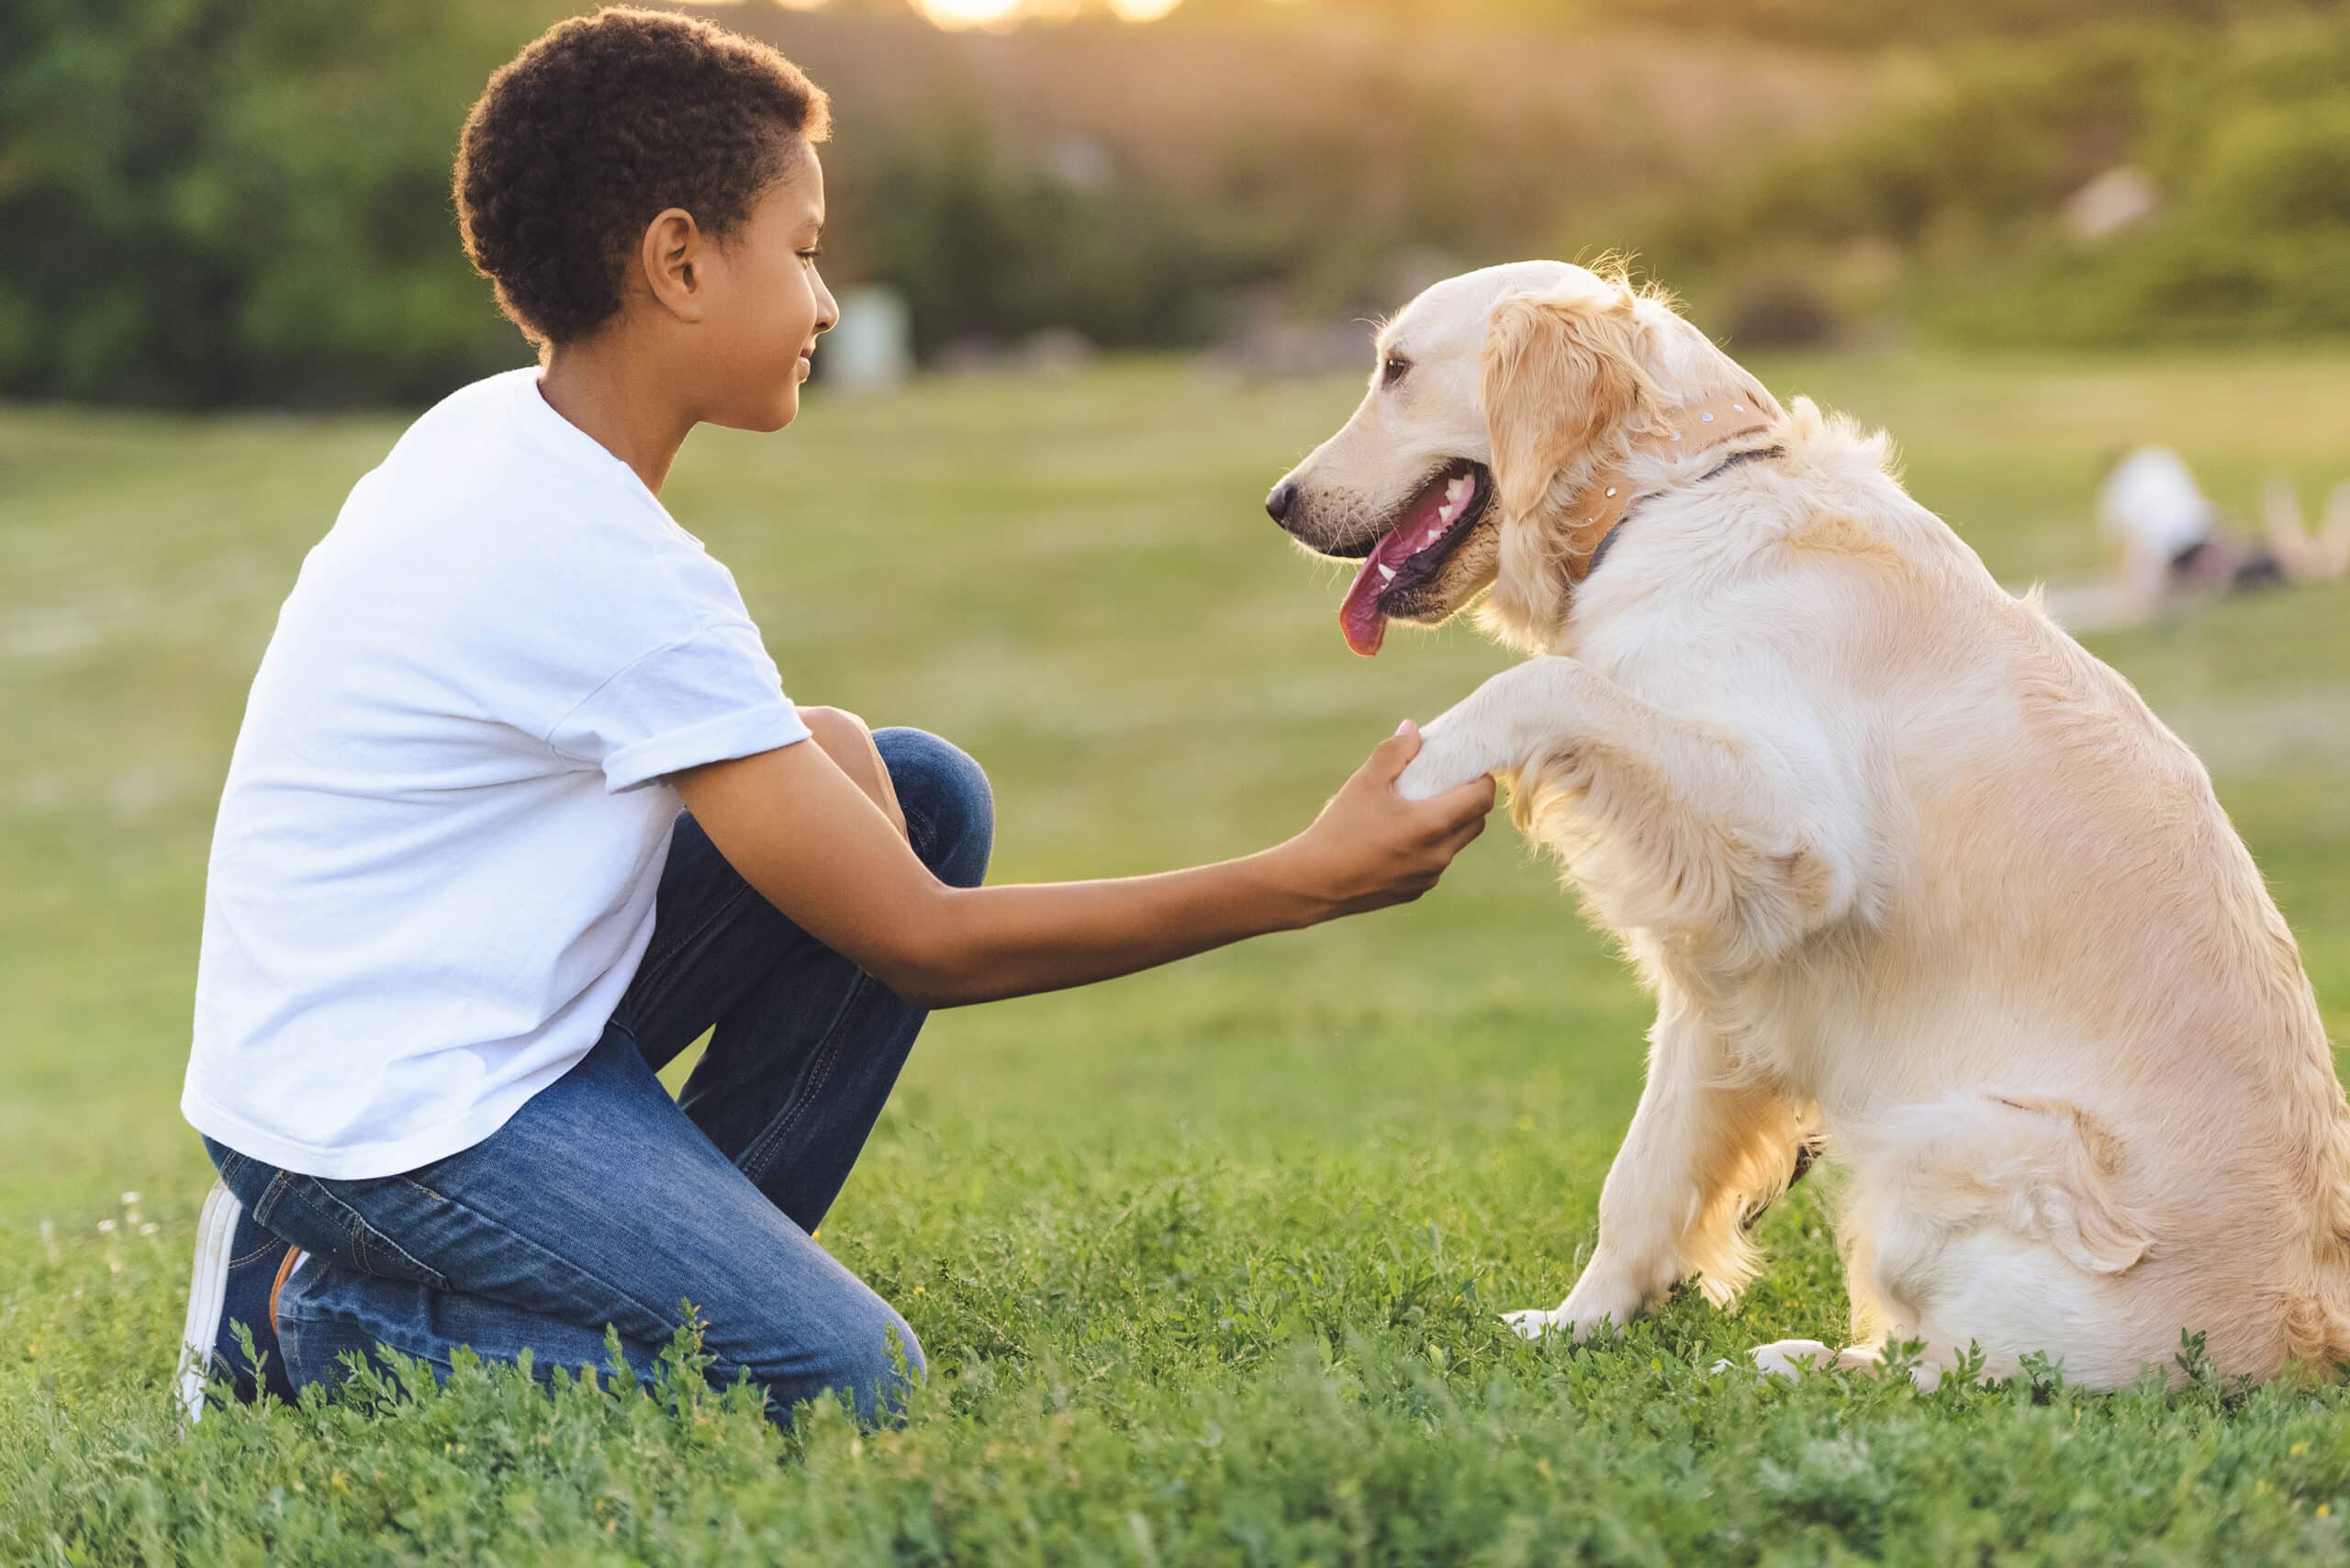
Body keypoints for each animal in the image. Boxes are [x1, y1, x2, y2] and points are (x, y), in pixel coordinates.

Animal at [1269, 263, 2350, 1391]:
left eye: (1395, 369)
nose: (1279, 503)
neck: (1665, 494)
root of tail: (2302, 1348)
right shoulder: (1719, 986)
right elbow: (1640, 1181)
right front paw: (1578, 1324)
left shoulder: (1796, 838)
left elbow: (1547, 682)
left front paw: (1416, 768)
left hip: (1944, 1135)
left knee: (1962, 1375)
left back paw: (1789, 1363)